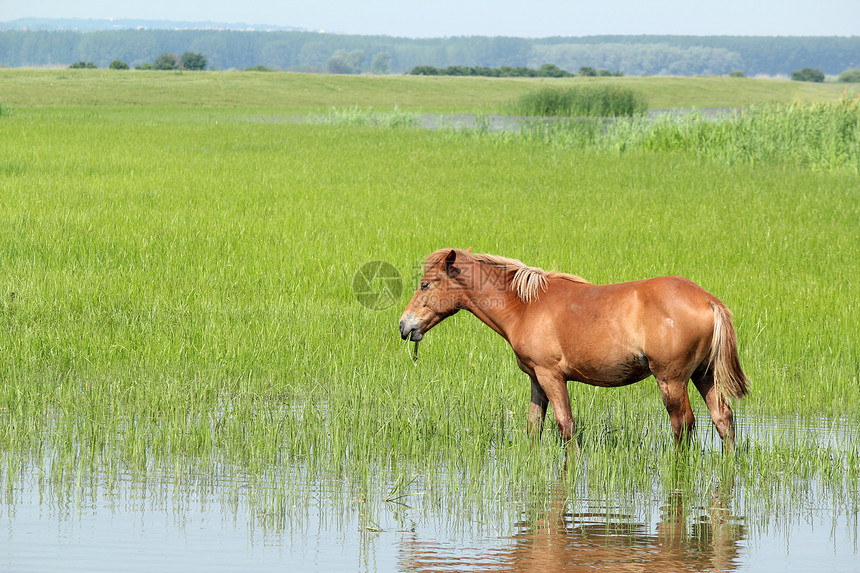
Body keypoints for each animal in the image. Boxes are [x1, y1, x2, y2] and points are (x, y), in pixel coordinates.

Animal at [400, 248, 748, 450]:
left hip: (671, 381)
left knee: (683, 424)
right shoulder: (536, 380)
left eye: (425, 284)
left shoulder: (552, 376)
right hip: (703, 376)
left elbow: (566, 426)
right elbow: (534, 428)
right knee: (723, 419)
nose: (404, 326)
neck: (525, 306)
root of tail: (708, 301)